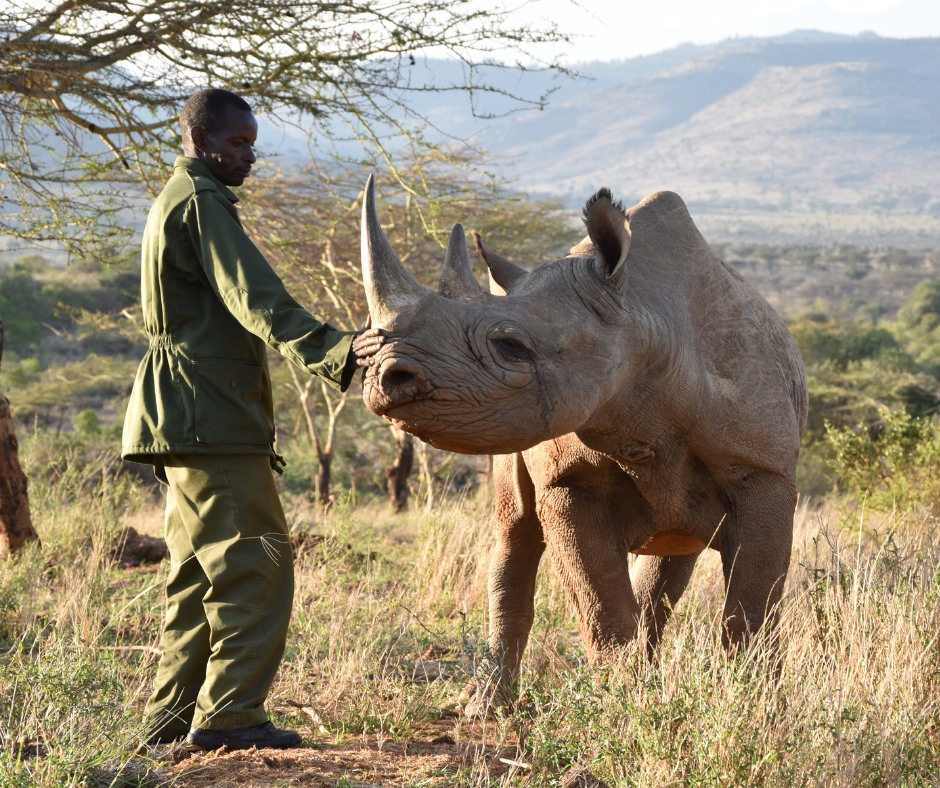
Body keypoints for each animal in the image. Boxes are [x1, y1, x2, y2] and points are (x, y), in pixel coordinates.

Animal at [358, 177, 808, 700]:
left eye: (510, 346)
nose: (381, 377)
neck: (644, 321)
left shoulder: (763, 471)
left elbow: (753, 606)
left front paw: (754, 699)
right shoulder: (569, 479)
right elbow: (601, 604)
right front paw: (628, 702)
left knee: (671, 557)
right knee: (515, 534)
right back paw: (488, 704)